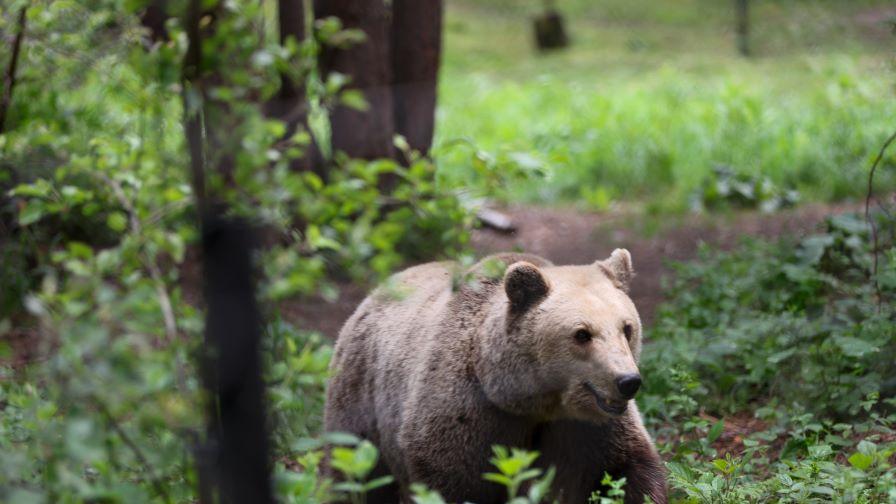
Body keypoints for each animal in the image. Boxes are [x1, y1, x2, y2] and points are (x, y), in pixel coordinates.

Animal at [322, 250, 664, 502]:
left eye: (627, 328)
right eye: (582, 334)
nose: (627, 381)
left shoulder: (588, 429)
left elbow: (628, 470)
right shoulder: (468, 410)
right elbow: (453, 477)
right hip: (362, 394)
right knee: (354, 470)